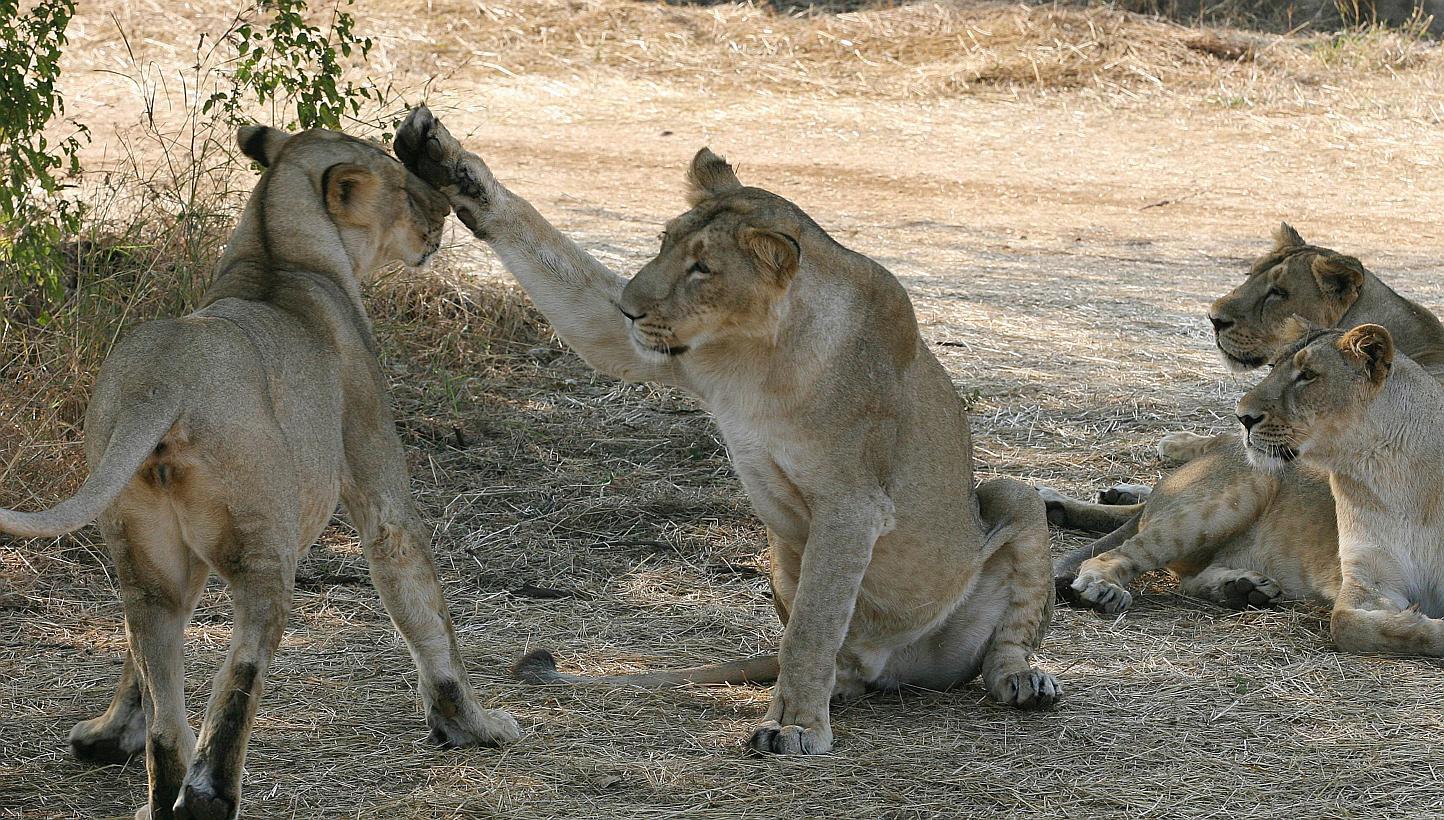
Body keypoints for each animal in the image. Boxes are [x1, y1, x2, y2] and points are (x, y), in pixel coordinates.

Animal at [0, 126, 520, 820]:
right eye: (404, 186)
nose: (440, 212)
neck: (279, 251)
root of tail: (162, 380)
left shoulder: (176, 568)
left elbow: (139, 671)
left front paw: (108, 734)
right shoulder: (376, 467)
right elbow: (422, 601)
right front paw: (475, 726)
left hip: (145, 559)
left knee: (165, 697)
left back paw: (161, 788)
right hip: (263, 549)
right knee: (242, 667)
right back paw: (207, 795)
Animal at [393, 106, 1060, 756]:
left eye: (703, 268)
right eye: (663, 244)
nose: (631, 307)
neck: (759, 354)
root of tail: (893, 667)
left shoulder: (853, 502)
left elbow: (813, 624)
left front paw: (793, 726)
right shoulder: (655, 351)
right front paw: (450, 166)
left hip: (1011, 499)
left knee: (1006, 632)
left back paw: (1023, 680)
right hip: (782, 554)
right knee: (842, 657)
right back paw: (841, 687)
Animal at [1237, 323, 1444, 656]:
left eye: (1308, 374)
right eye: (1271, 367)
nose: (1242, 417)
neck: (1392, 476)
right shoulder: (1369, 576)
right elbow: (1346, 624)